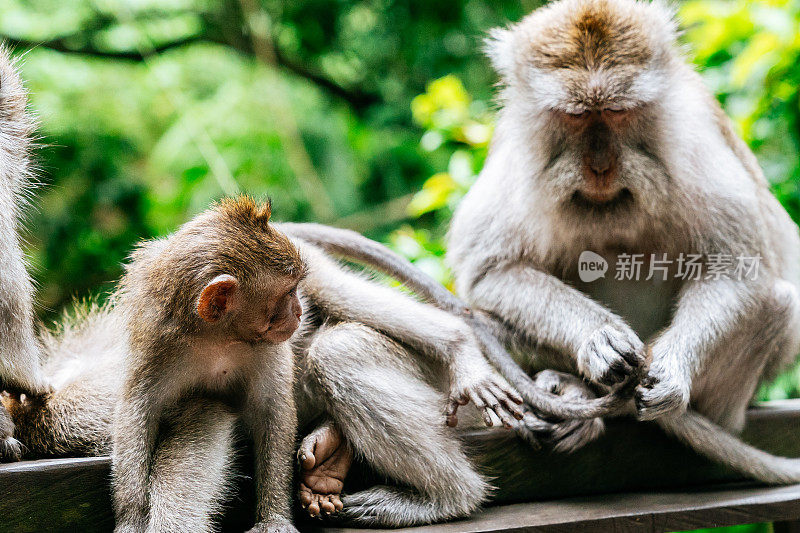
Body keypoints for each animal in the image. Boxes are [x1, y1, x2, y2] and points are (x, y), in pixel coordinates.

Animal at [111, 196, 302, 532]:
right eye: (287, 293)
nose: (300, 311)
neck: (218, 336)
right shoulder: (153, 338)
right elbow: (138, 411)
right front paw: (131, 519)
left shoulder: (269, 348)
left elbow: (272, 412)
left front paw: (274, 515)